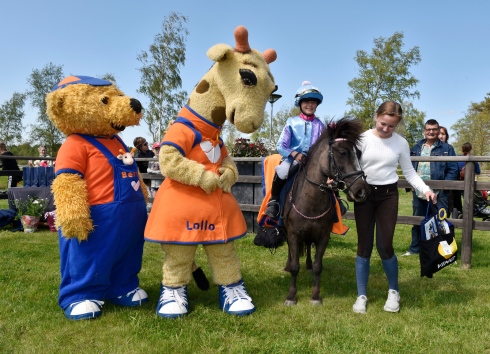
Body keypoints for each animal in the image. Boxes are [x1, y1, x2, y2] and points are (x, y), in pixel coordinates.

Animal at [280, 117, 368, 306]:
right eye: (342, 152)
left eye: (358, 154)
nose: (362, 191)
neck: (311, 202)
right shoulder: (293, 234)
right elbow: (295, 267)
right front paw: (291, 296)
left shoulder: (323, 237)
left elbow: (318, 267)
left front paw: (315, 296)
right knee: (292, 252)